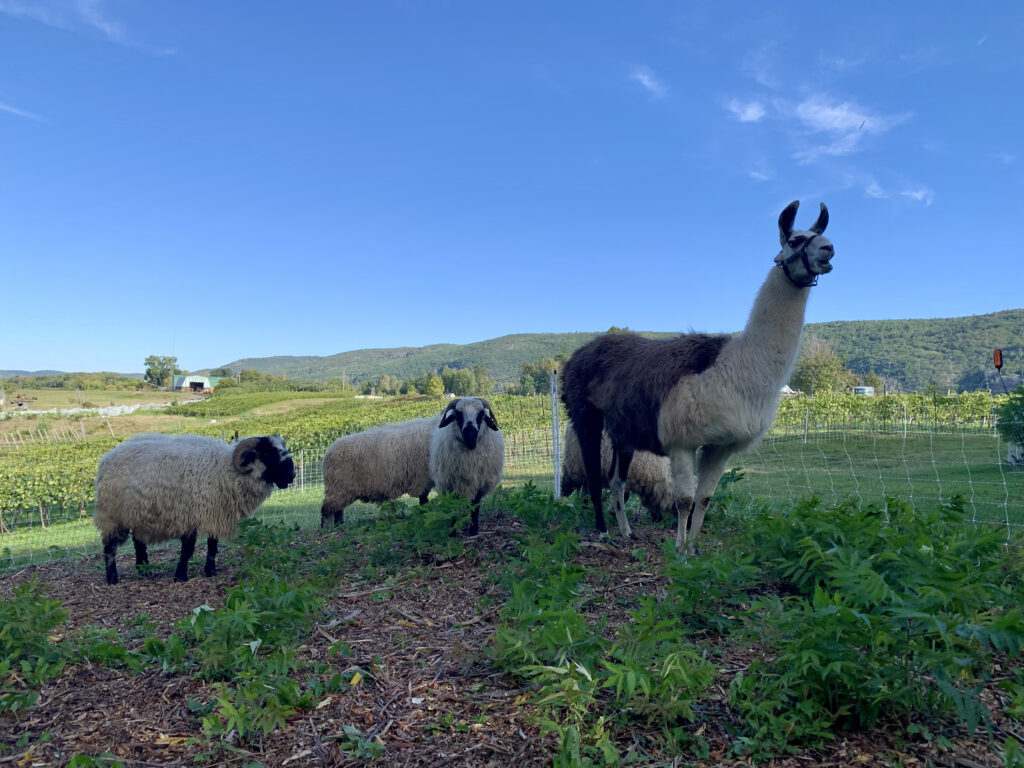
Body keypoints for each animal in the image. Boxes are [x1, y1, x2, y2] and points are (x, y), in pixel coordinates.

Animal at [94, 434, 296, 581]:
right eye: (268, 453)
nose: (292, 475)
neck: (225, 471)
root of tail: (108, 456)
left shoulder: (215, 514)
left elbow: (212, 545)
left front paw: (210, 572)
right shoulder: (189, 515)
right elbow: (188, 548)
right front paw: (181, 576)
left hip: (139, 514)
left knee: (138, 543)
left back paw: (144, 572)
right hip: (112, 515)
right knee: (109, 547)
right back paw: (112, 579)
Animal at [428, 397, 503, 536]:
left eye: (481, 414)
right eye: (458, 414)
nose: (470, 437)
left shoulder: (481, 484)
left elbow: (475, 506)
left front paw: (473, 530)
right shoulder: (450, 483)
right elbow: (453, 505)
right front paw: (452, 531)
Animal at [561, 201, 831, 557]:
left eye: (825, 235)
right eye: (795, 240)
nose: (829, 250)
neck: (737, 369)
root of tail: (579, 353)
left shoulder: (721, 444)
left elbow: (704, 499)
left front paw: (694, 549)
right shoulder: (681, 440)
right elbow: (684, 500)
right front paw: (679, 551)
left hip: (623, 429)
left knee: (617, 481)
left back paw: (626, 531)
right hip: (584, 413)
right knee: (594, 476)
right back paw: (603, 532)